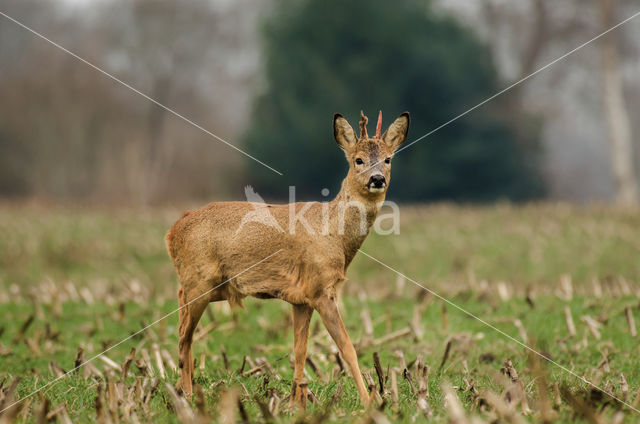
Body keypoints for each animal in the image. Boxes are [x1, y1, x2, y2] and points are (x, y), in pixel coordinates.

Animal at [165, 110, 410, 408]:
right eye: (358, 160)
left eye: (388, 159)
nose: (377, 179)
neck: (334, 234)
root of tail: (174, 229)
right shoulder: (320, 289)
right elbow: (347, 347)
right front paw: (368, 401)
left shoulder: (301, 298)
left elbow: (300, 349)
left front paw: (297, 402)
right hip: (199, 280)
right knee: (183, 335)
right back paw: (188, 395)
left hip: (212, 286)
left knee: (181, 319)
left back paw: (180, 391)